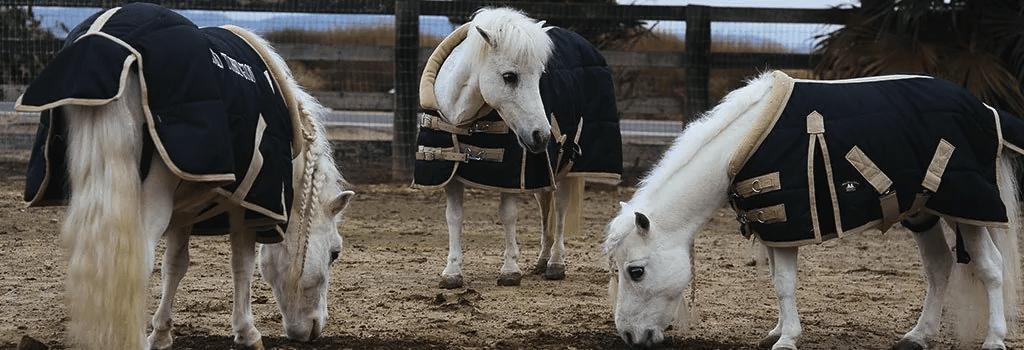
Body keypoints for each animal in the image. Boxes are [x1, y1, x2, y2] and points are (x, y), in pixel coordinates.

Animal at [12, 3, 352, 350]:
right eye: (334, 253)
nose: (313, 329)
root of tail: (102, 43)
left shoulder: (186, 207)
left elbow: (174, 266)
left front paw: (162, 333)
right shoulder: (248, 206)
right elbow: (241, 265)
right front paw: (247, 332)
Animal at [598, 69, 1024, 347]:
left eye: (635, 271)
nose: (629, 336)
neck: (740, 146)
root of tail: (984, 109)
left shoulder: (787, 224)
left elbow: (785, 284)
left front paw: (787, 338)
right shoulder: (772, 227)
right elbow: (776, 281)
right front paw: (777, 331)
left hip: (967, 209)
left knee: (991, 269)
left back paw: (994, 338)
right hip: (922, 213)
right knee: (939, 268)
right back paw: (919, 336)